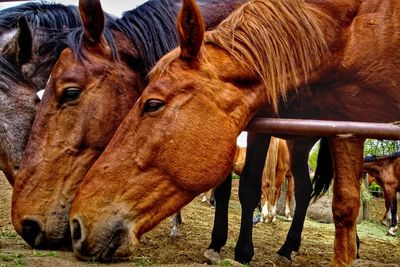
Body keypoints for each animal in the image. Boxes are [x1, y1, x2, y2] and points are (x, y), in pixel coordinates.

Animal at [69, 0, 400, 266]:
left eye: (152, 104)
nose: (76, 224)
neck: (356, 24)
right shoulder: (346, 125)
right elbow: (344, 208)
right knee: (305, 190)